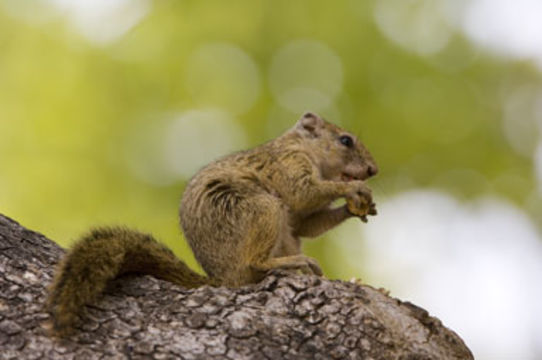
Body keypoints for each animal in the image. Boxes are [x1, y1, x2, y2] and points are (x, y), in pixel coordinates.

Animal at [46, 112, 378, 334]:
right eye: (345, 140)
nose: (373, 170)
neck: (306, 151)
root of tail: (223, 278)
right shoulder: (287, 164)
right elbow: (303, 192)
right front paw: (352, 190)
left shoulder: (300, 219)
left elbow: (308, 224)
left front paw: (359, 207)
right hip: (262, 210)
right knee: (255, 262)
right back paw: (291, 263)